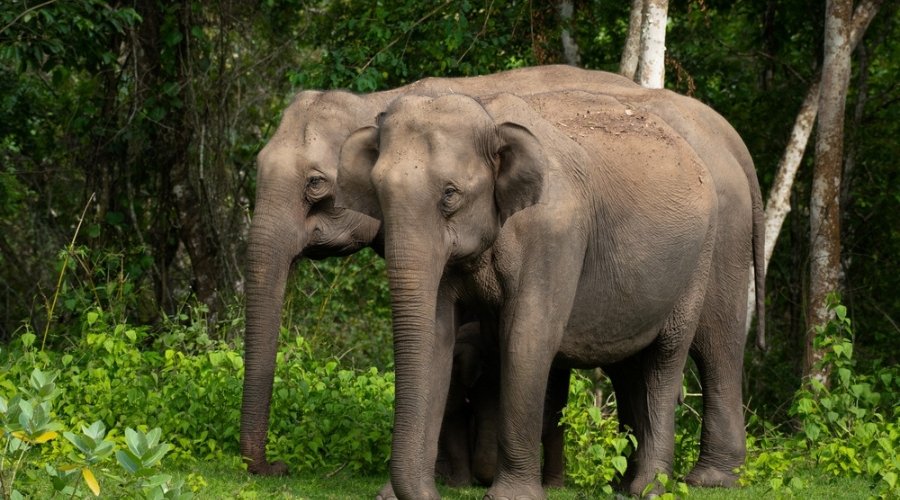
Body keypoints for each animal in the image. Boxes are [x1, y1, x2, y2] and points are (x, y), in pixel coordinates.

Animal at [335, 89, 763, 498]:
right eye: (377, 194)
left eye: (450, 194)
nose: (430, 495)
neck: (490, 118)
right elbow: (437, 337)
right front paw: (395, 495)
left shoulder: (552, 231)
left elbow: (527, 335)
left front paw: (511, 496)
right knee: (632, 366)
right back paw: (626, 486)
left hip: (702, 256)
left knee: (673, 356)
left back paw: (663, 487)